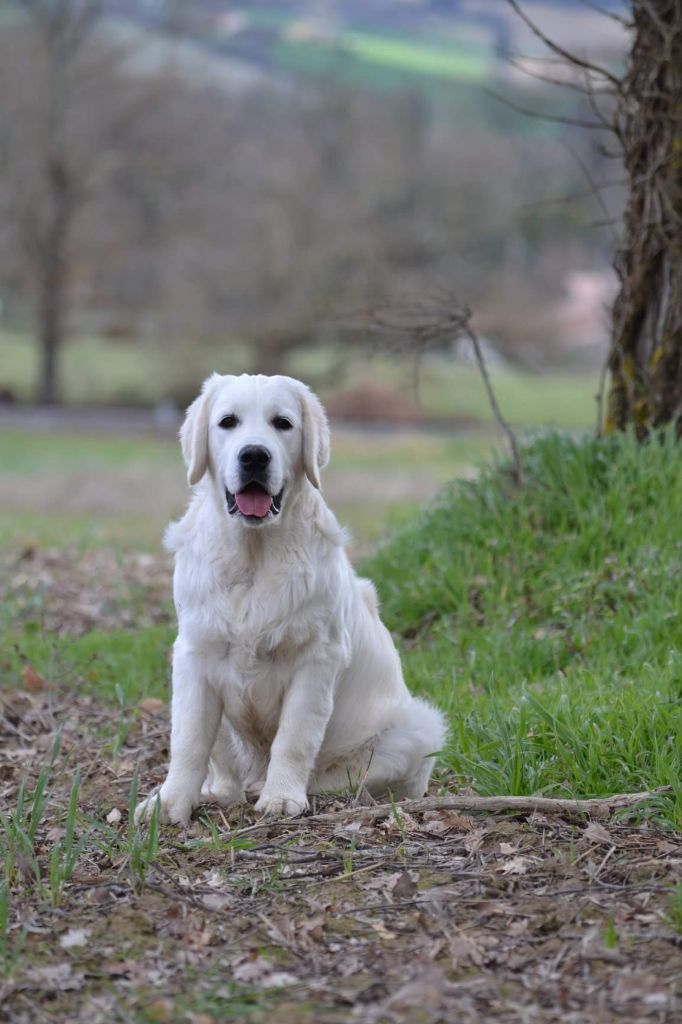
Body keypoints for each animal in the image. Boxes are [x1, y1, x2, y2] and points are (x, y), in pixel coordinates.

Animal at [135, 374, 446, 824]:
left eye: (282, 423)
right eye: (227, 422)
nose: (254, 456)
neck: (254, 555)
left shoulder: (317, 658)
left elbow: (295, 736)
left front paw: (282, 796)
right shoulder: (195, 653)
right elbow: (189, 739)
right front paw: (169, 802)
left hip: (418, 729)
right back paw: (222, 790)